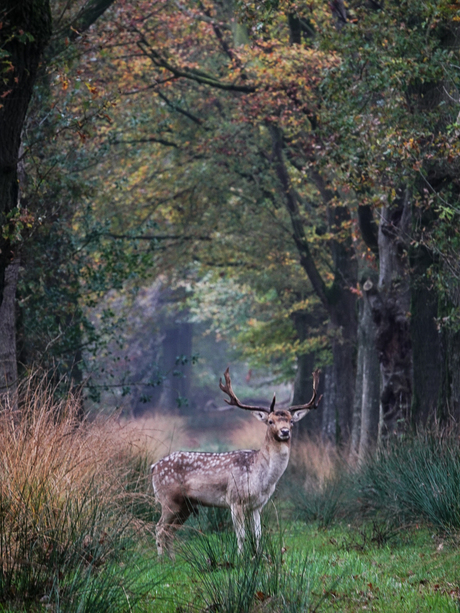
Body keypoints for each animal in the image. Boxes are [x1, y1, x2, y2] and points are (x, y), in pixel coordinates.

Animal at [150, 368, 320, 556]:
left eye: (291, 421)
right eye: (270, 421)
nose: (284, 432)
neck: (262, 478)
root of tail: (153, 467)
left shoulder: (258, 505)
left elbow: (258, 535)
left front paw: (258, 556)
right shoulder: (235, 499)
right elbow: (241, 535)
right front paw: (241, 557)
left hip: (185, 505)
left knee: (169, 531)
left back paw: (172, 559)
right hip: (168, 498)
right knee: (159, 528)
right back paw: (161, 559)